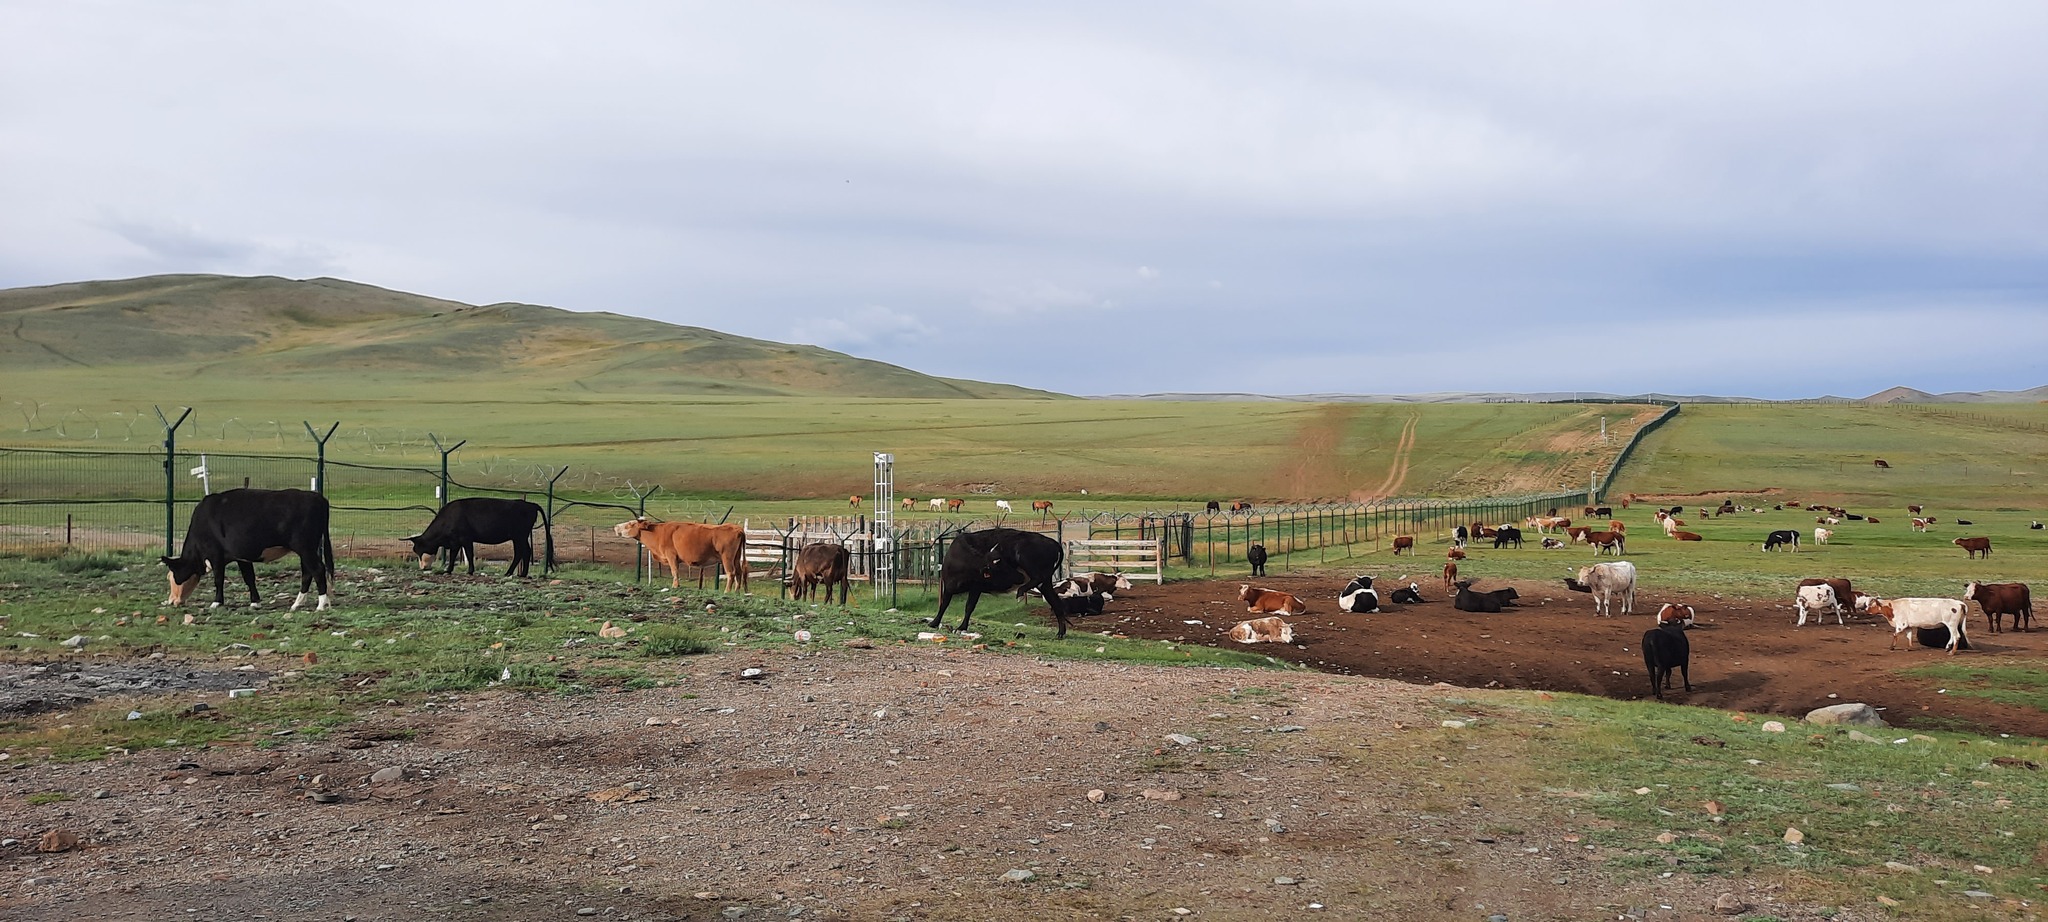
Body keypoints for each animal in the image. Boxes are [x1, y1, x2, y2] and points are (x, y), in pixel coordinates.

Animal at [161, 489, 333, 610]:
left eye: (172, 576)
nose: (172, 601)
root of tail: (319, 498)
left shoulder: (216, 554)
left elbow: (218, 579)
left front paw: (217, 603)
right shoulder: (241, 556)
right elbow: (249, 577)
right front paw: (255, 602)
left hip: (304, 547)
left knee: (317, 569)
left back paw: (321, 604)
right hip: (308, 549)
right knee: (307, 572)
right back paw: (297, 604)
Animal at [407, 497, 544, 577]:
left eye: (419, 549)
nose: (422, 567)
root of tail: (530, 504)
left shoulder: (466, 539)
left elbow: (469, 553)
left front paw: (470, 571)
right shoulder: (455, 542)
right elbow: (453, 555)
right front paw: (448, 570)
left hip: (519, 536)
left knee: (521, 552)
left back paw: (512, 573)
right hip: (520, 537)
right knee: (524, 552)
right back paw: (521, 574)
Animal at [925, 528, 1073, 639]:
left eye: (1007, 564)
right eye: (1002, 569)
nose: (1020, 576)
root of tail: (1053, 542)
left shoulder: (975, 587)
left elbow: (968, 607)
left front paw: (960, 627)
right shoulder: (951, 586)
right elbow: (945, 604)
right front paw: (935, 623)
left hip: (1028, 562)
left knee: (1038, 579)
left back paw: (1021, 591)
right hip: (1046, 583)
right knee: (1056, 603)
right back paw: (1060, 633)